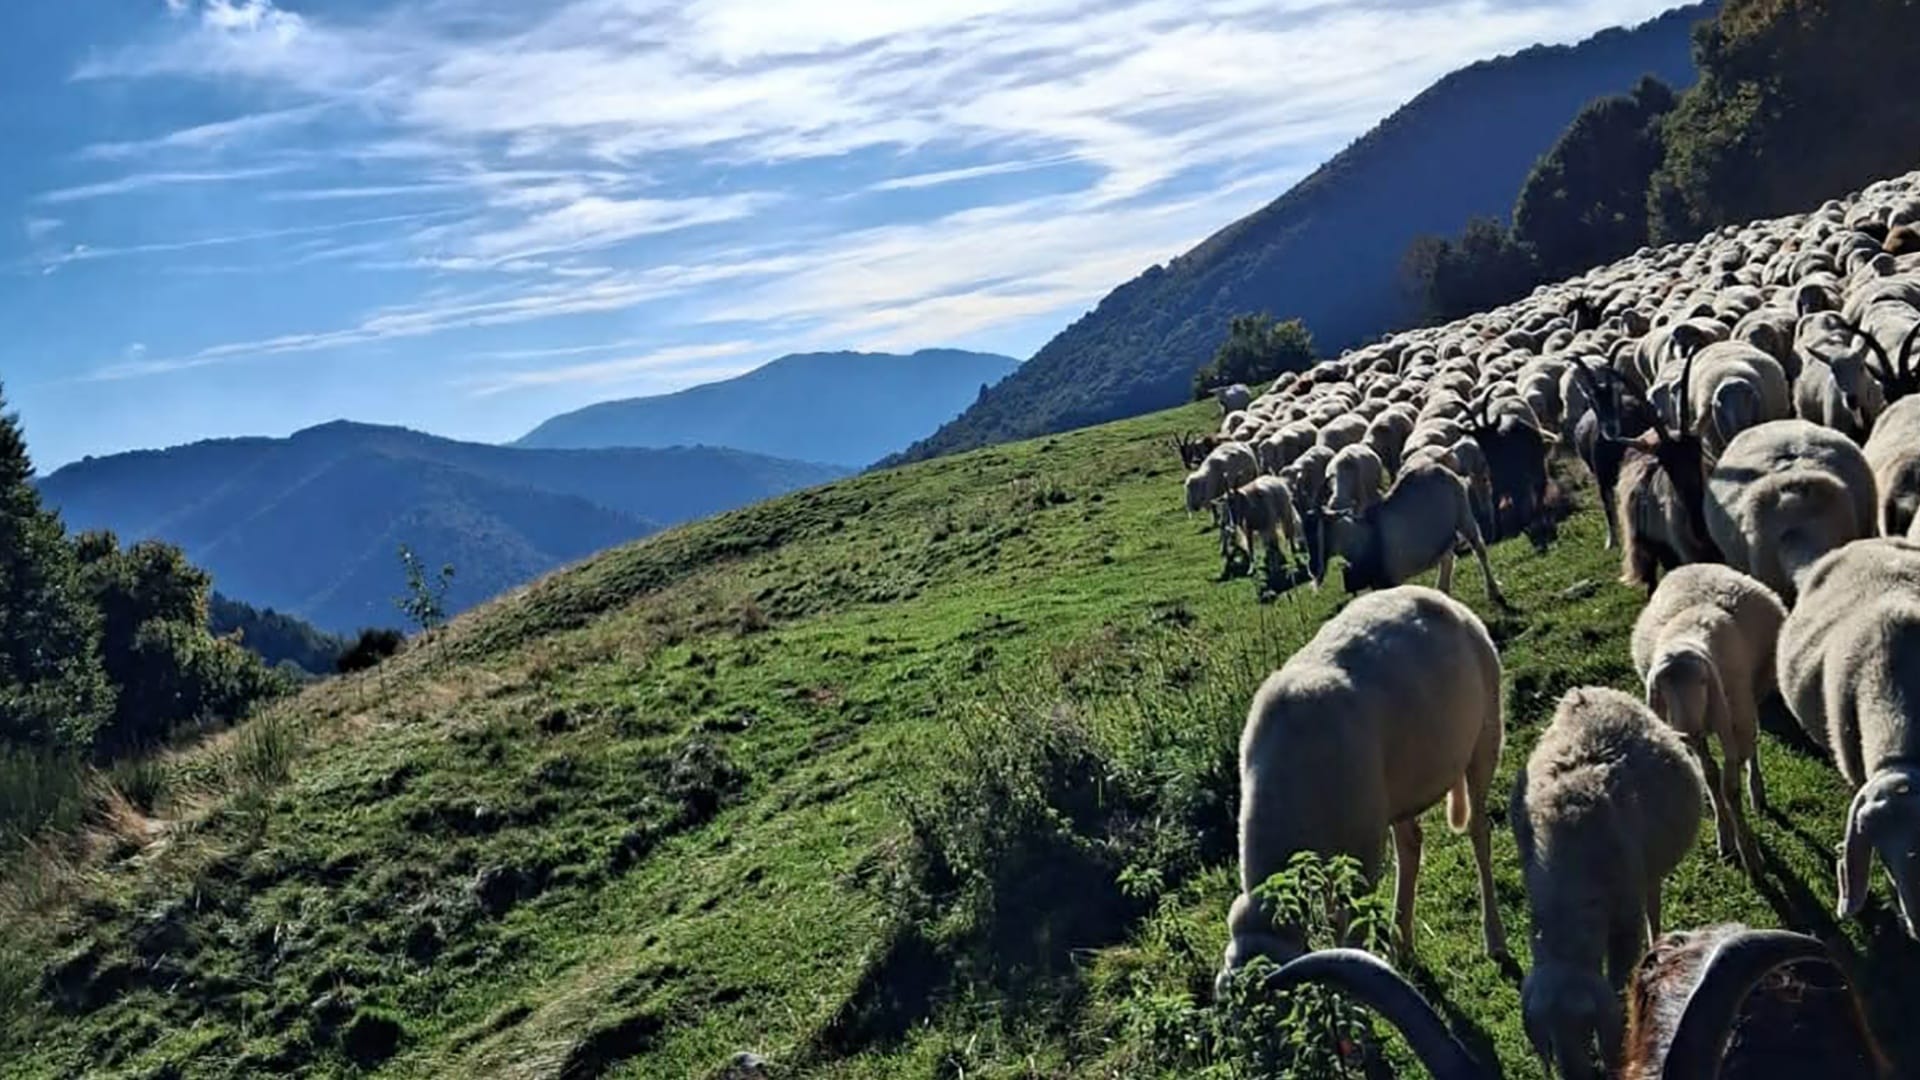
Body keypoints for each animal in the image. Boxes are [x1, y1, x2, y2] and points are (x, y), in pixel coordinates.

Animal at [1217, 586, 1507, 994]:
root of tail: (1438, 596)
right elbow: (1332, 917)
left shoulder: (1362, 855)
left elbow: (1348, 929)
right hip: (1396, 792)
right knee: (1411, 844)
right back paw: (1402, 944)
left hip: (1485, 736)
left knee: (1479, 832)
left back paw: (1494, 939)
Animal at [1314, 461, 1511, 610]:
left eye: (1324, 527)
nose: (1314, 570)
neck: (1365, 535)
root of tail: (1441, 469)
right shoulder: (1380, 583)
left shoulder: (1392, 580)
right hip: (1441, 533)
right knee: (1447, 558)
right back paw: (1442, 594)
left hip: (1464, 516)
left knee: (1479, 549)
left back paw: (1495, 593)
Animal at [1511, 687, 1705, 1080]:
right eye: (1548, 1037)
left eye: (1586, 1030)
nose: (1576, 1076)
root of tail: (1586, 690)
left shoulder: (1624, 922)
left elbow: (1617, 983)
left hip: (1647, 868)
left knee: (1653, 902)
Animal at [1631, 565, 1787, 871]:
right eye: (1663, 687)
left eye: (1703, 681)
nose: (1686, 730)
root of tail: (1690, 566)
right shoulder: (1697, 739)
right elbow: (1712, 776)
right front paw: (1724, 837)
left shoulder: (1733, 720)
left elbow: (1731, 788)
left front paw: (1749, 853)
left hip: (1750, 698)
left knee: (1751, 747)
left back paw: (1757, 792)